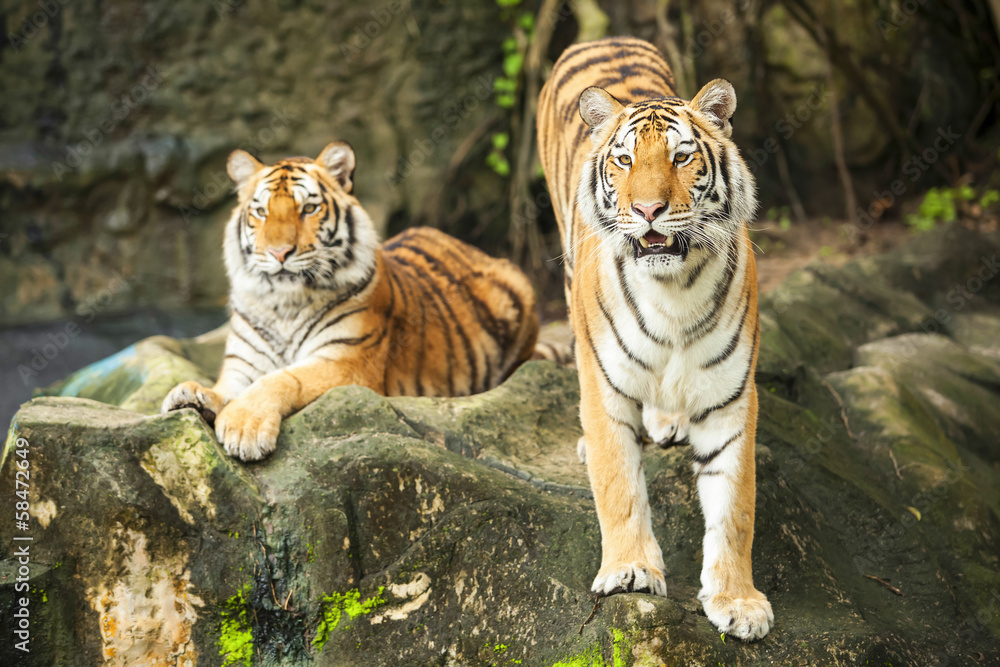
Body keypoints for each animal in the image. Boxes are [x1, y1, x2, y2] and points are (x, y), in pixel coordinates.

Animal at [161, 142, 539, 461]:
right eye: (261, 212)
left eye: (308, 209)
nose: (279, 253)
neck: (284, 305)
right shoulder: (243, 364)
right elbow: (225, 387)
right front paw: (190, 395)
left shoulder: (347, 360)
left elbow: (281, 379)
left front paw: (244, 426)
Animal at [537, 37, 772, 640]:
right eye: (624, 160)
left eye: (681, 157)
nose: (647, 210)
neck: (674, 289)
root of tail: (603, 37)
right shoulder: (604, 386)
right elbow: (618, 486)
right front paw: (630, 572)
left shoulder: (731, 397)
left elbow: (736, 508)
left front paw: (737, 602)